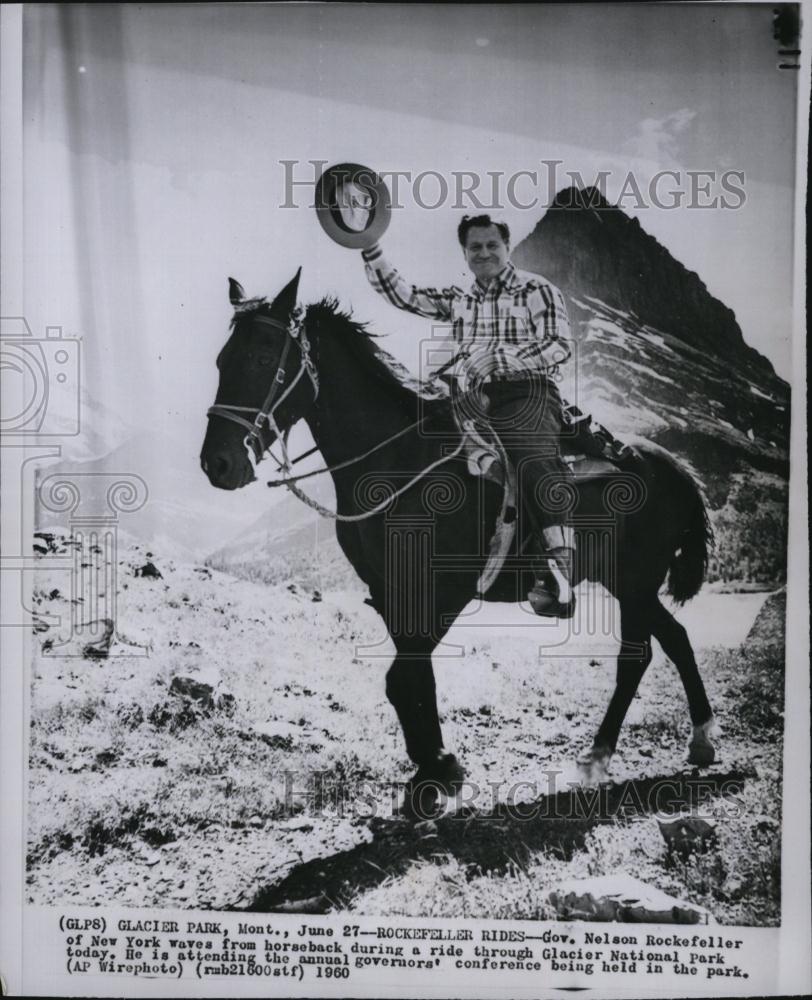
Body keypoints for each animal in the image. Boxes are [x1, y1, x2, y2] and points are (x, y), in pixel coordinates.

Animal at [198, 272, 716, 812]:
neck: (401, 459)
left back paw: (601, 756)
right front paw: (432, 767)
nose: (218, 463)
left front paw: (439, 770)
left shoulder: (444, 591)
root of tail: (674, 468)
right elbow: (409, 680)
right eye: (221, 360)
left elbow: (403, 677)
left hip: (634, 581)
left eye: (262, 359)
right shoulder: (391, 591)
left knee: (636, 657)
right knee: (675, 638)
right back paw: (698, 740)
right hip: (629, 583)